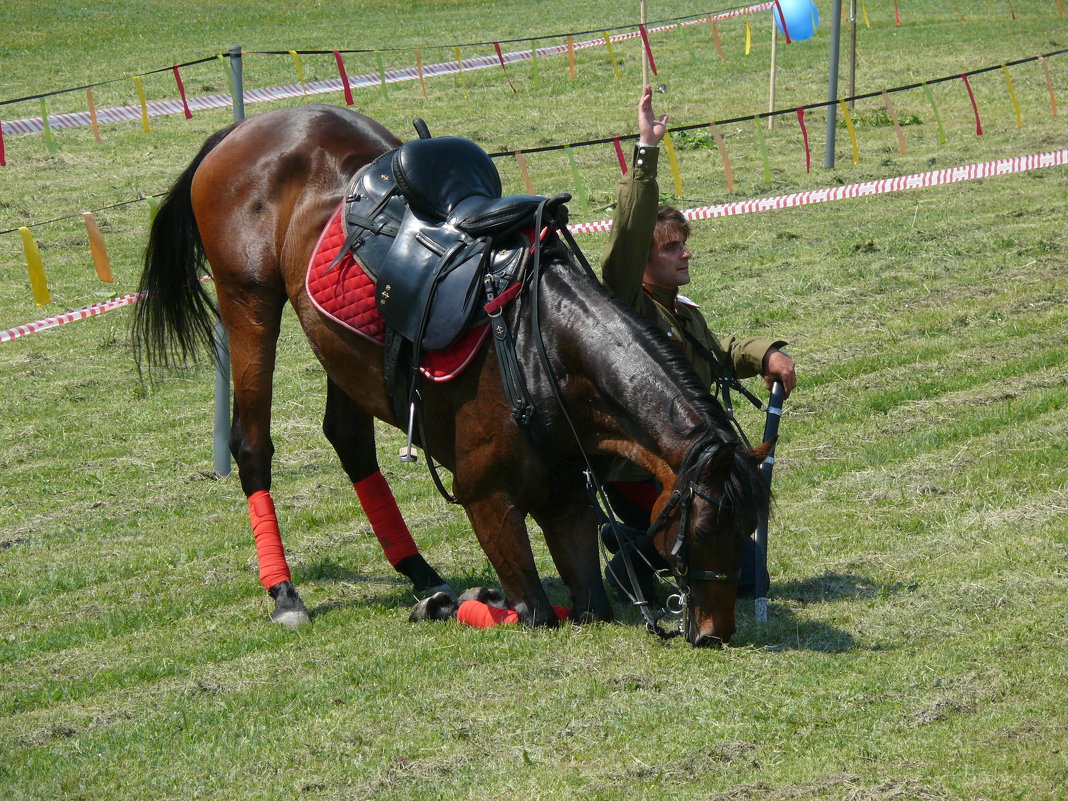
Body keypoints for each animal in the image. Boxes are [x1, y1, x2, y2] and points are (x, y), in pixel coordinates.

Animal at [133, 105, 773, 645]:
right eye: (705, 527)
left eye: (751, 526)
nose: (715, 632)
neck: (544, 352)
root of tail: (246, 128)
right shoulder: (487, 500)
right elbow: (534, 612)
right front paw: (462, 604)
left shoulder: (567, 501)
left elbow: (587, 603)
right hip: (249, 299)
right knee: (251, 444)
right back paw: (286, 592)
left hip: (336, 344)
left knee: (350, 440)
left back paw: (418, 571)